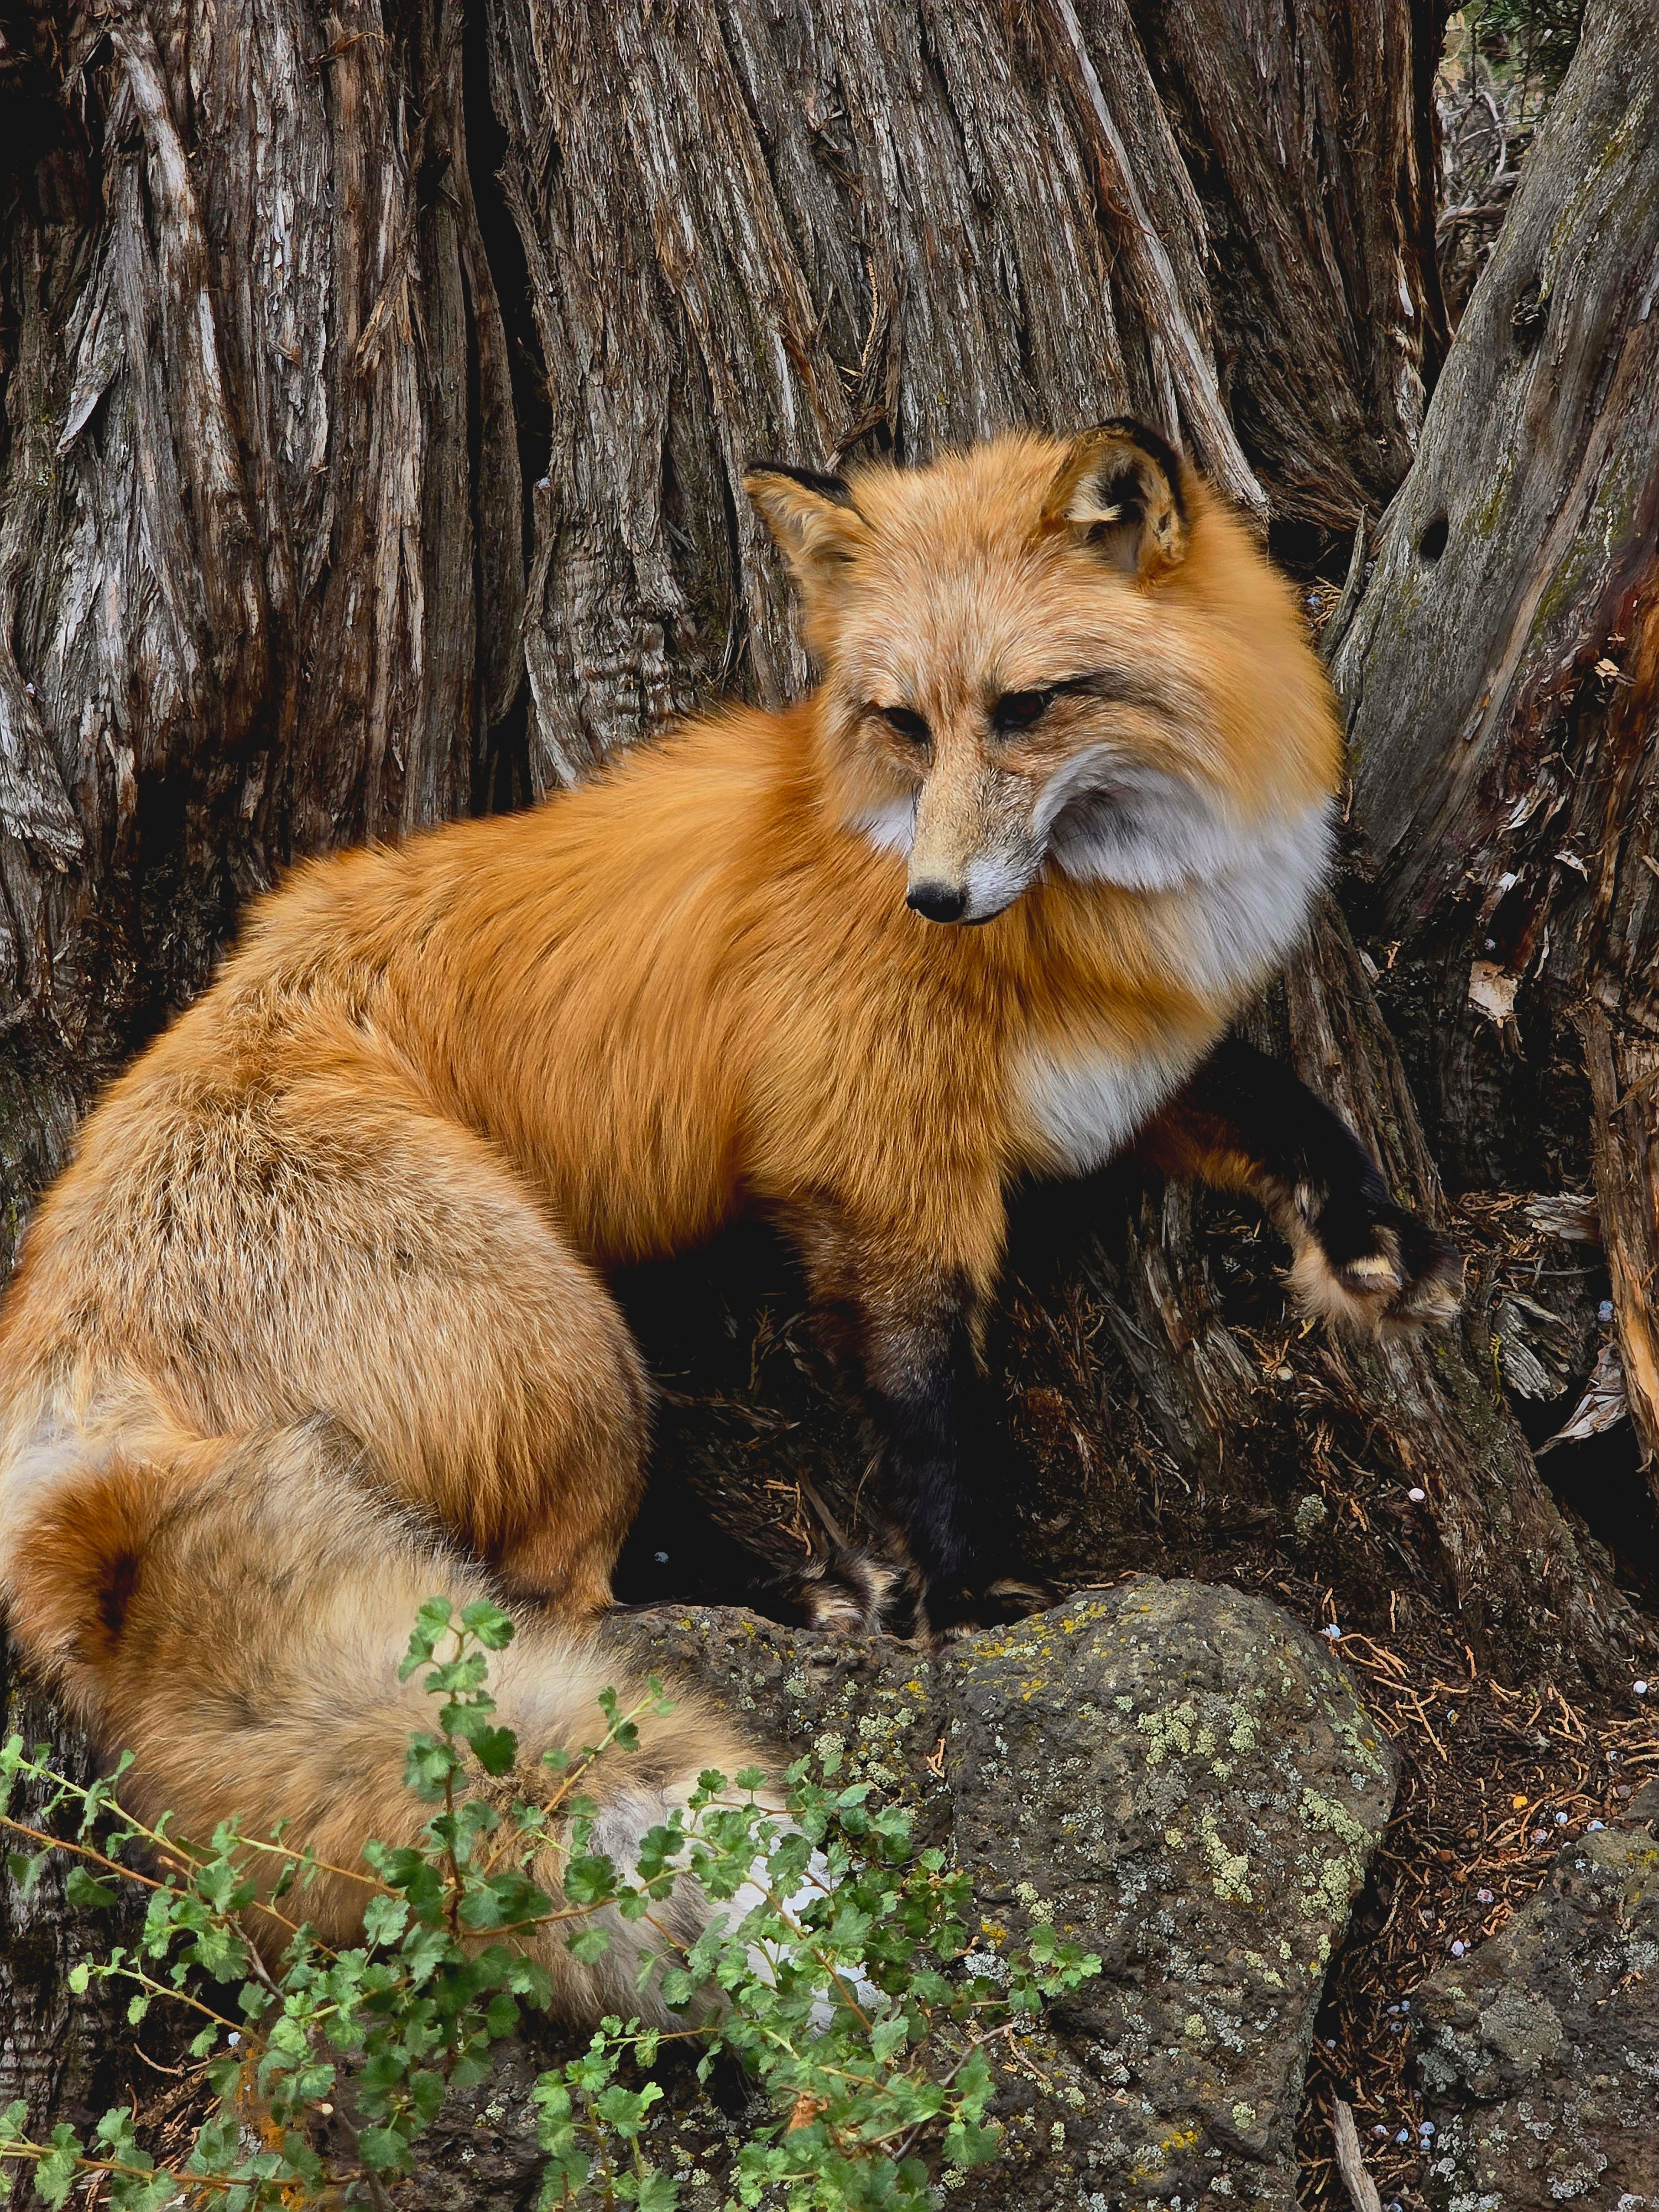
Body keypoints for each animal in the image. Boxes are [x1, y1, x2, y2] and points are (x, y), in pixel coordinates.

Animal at [0, 422, 1459, 2023]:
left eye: (1025, 708)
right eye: (900, 721)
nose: (934, 897)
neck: (1103, 930)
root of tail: (78, 1404)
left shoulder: (1112, 1078)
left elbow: (1277, 1098)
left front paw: (1374, 1239)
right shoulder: (872, 1161)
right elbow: (935, 1402)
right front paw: (971, 1592)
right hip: (570, 1342)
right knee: (561, 1591)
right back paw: (808, 1599)